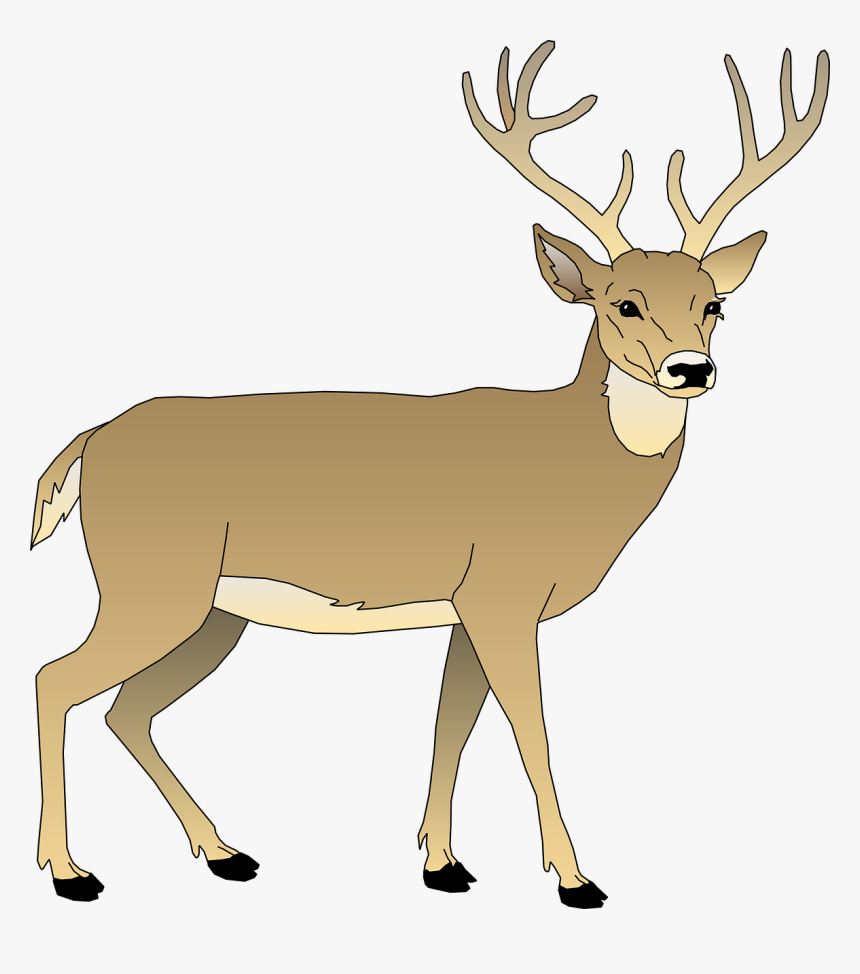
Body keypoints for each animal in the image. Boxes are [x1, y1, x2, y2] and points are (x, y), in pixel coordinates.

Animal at [32, 41, 828, 906]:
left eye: (715, 305)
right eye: (622, 303)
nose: (692, 369)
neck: (571, 467)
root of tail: (90, 441)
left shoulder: (467, 605)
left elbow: (452, 722)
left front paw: (442, 865)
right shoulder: (504, 593)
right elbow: (530, 729)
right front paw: (575, 878)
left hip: (212, 610)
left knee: (126, 711)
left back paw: (225, 852)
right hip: (152, 582)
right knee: (55, 680)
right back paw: (71, 872)